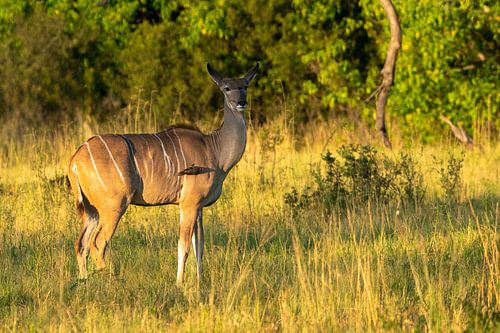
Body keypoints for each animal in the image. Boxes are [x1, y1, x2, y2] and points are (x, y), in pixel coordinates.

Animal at [68, 63, 260, 284]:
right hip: (114, 206)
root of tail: (76, 158)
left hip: (92, 210)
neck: (215, 149)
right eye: (227, 88)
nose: (241, 102)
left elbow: (199, 247)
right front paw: (179, 283)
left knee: (81, 244)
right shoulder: (189, 204)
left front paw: (200, 281)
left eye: (245, 85)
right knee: (98, 244)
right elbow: (184, 246)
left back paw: (84, 281)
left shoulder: (199, 207)